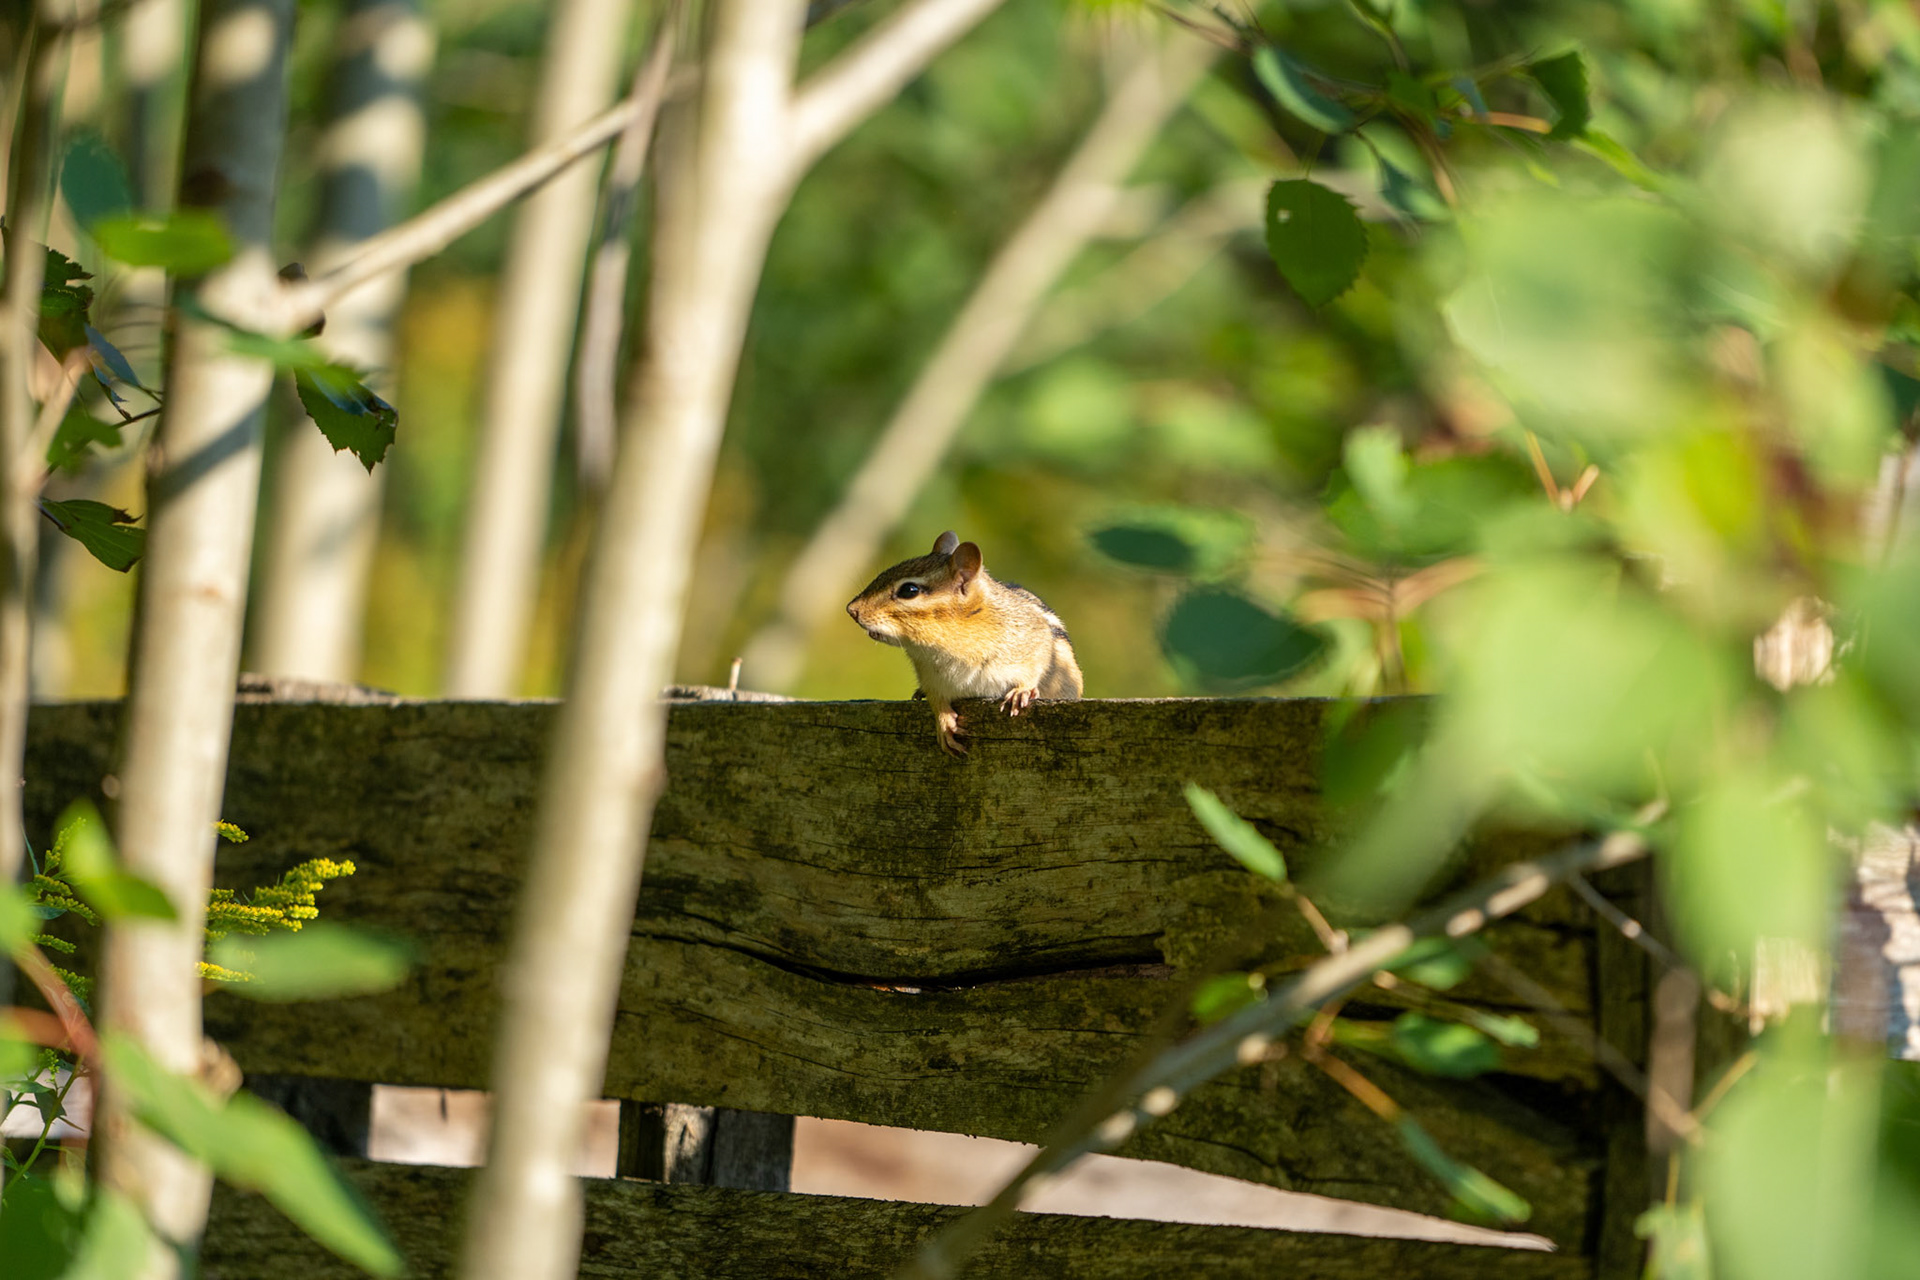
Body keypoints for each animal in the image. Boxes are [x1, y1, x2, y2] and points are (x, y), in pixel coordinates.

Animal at [846, 531, 1084, 757]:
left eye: (909, 590)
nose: (851, 610)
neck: (945, 645)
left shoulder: (1035, 639)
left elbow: (1038, 662)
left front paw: (1022, 691)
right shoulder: (931, 677)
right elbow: (937, 699)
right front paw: (944, 723)